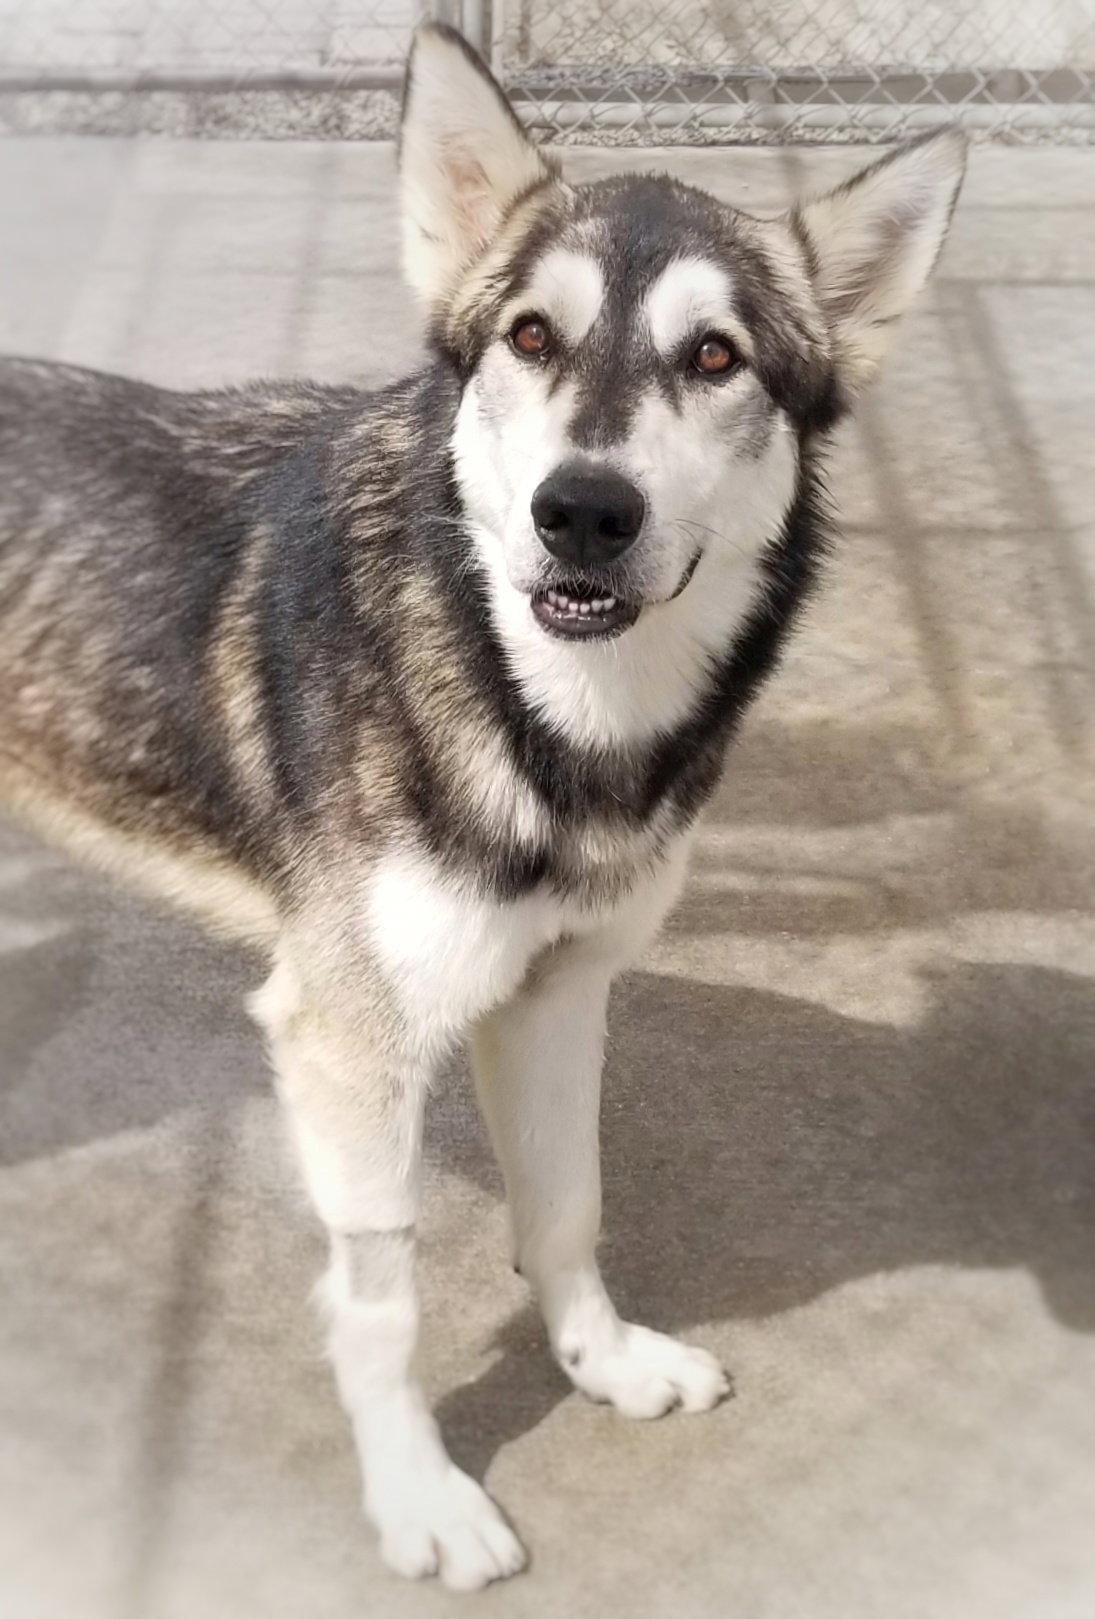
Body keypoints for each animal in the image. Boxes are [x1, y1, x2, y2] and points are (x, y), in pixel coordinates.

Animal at [0, 22, 966, 1592]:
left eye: (715, 356)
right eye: (528, 336)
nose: (583, 510)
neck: (538, 707)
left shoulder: (559, 993)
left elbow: (567, 1202)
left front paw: (601, 1361)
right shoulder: (349, 1043)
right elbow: (381, 1300)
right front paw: (418, 1496)